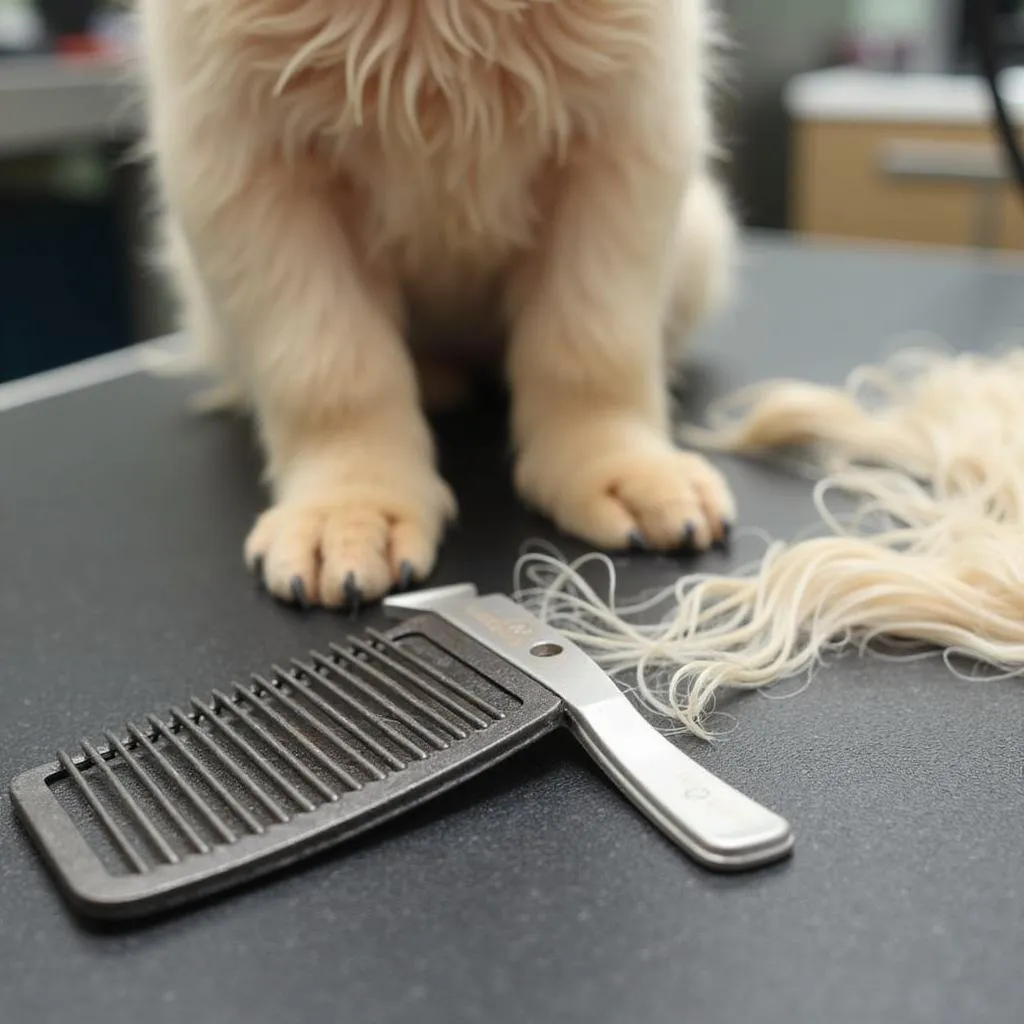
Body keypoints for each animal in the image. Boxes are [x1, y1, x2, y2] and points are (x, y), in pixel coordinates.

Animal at [140, 0, 741, 606]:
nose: (346, 518)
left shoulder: (629, 130)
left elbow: (593, 347)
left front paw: (627, 472)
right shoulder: (243, 161)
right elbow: (329, 372)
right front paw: (349, 513)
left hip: (702, 240)